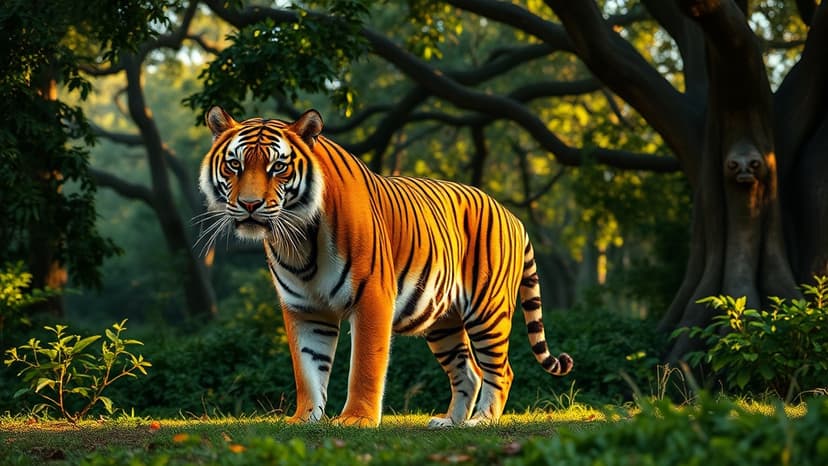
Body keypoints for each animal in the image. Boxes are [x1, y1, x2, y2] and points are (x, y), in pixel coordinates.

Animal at [198, 106, 573, 428]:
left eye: (278, 167)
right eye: (234, 165)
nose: (249, 204)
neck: (298, 240)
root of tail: (512, 215)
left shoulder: (371, 297)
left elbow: (365, 363)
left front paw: (356, 419)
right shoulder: (304, 309)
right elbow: (307, 368)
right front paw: (304, 418)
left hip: (487, 311)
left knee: (500, 371)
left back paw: (481, 421)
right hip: (444, 322)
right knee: (468, 371)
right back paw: (449, 422)